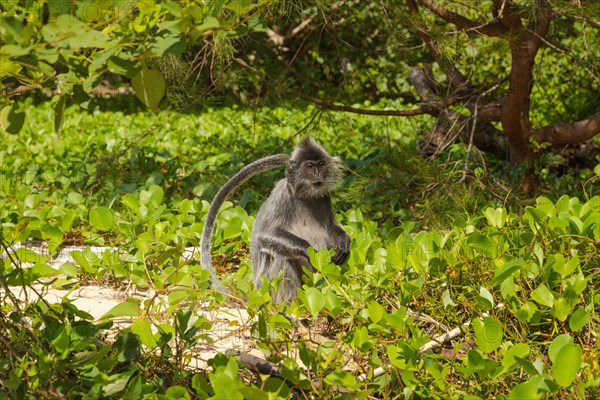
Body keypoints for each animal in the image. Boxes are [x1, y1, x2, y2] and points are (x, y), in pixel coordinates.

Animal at [202, 139, 352, 302]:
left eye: (321, 165)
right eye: (309, 166)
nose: (317, 175)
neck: (305, 196)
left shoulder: (325, 196)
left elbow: (330, 226)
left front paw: (344, 242)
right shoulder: (282, 195)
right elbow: (264, 235)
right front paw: (308, 250)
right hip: (265, 287)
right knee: (280, 255)